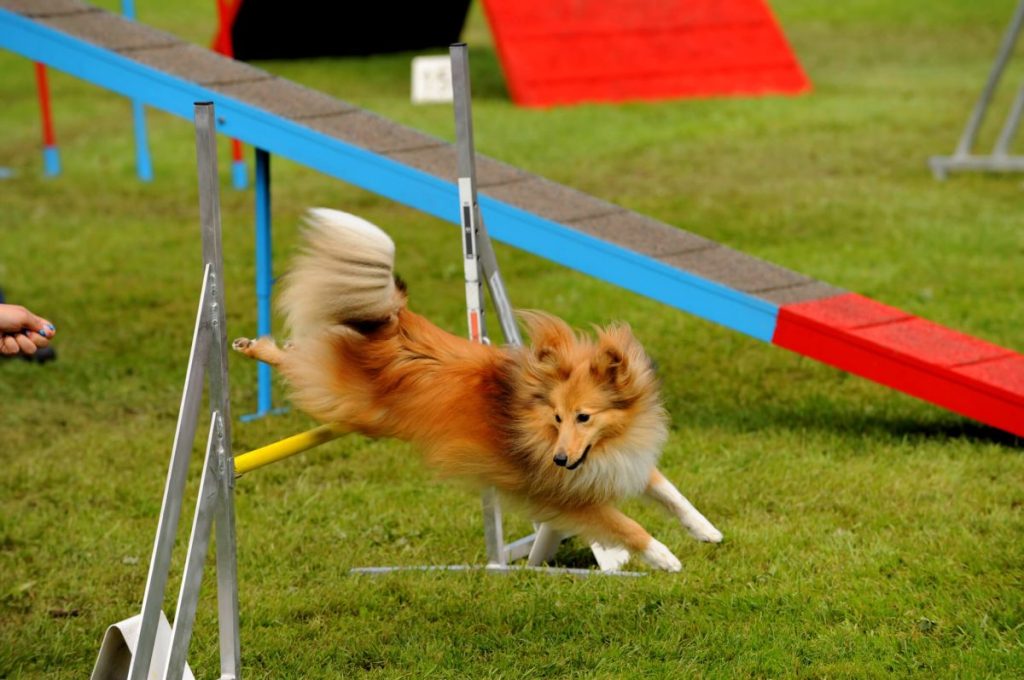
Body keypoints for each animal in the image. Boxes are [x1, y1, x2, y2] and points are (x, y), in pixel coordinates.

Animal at [235, 209, 724, 569]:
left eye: (583, 416)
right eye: (557, 418)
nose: (559, 459)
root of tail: (395, 324)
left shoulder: (621, 461)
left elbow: (671, 492)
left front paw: (706, 530)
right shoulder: (566, 496)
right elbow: (625, 525)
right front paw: (663, 557)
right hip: (347, 402)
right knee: (298, 363)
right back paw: (254, 346)